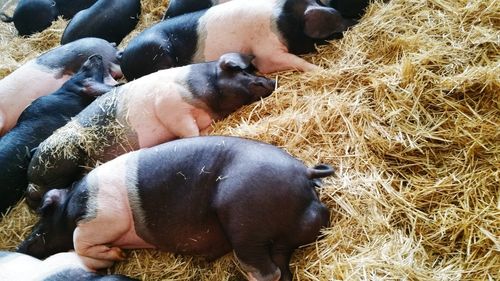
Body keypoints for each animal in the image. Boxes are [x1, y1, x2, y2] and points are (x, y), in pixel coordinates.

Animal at [17, 136, 334, 280]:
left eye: (43, 215)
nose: (22, 246)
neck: (73, 202)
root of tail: (305, 172)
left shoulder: (102, 215)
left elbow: (77, 240)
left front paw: (116, 255)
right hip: (295, 230)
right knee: (282, 266)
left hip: (244, 219)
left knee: (266, 270)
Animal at [25, 52, 276, 208]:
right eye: (241, 72)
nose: (271, 82)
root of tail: (30, 177)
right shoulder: (171, 107)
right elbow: (190, 133)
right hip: (64, 156)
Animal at [120, 0, 356, 80]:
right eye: (336, 22)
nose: (355, 19)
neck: (284, 19)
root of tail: (123, 58)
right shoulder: (266, 53)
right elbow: (294, 61)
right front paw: (322, 71)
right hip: (157, 52)